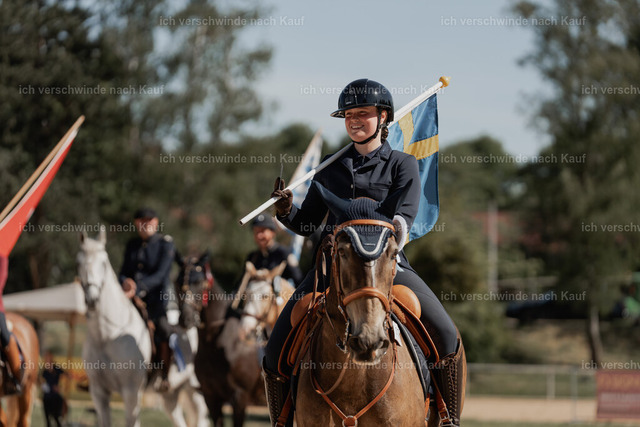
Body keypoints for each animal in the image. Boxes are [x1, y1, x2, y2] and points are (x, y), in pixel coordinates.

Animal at [77, 229, 152, 427]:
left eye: (104, 262)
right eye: (78, 262)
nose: (92, 299)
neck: (107, 337)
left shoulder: (131, 392)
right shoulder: (99, 392)